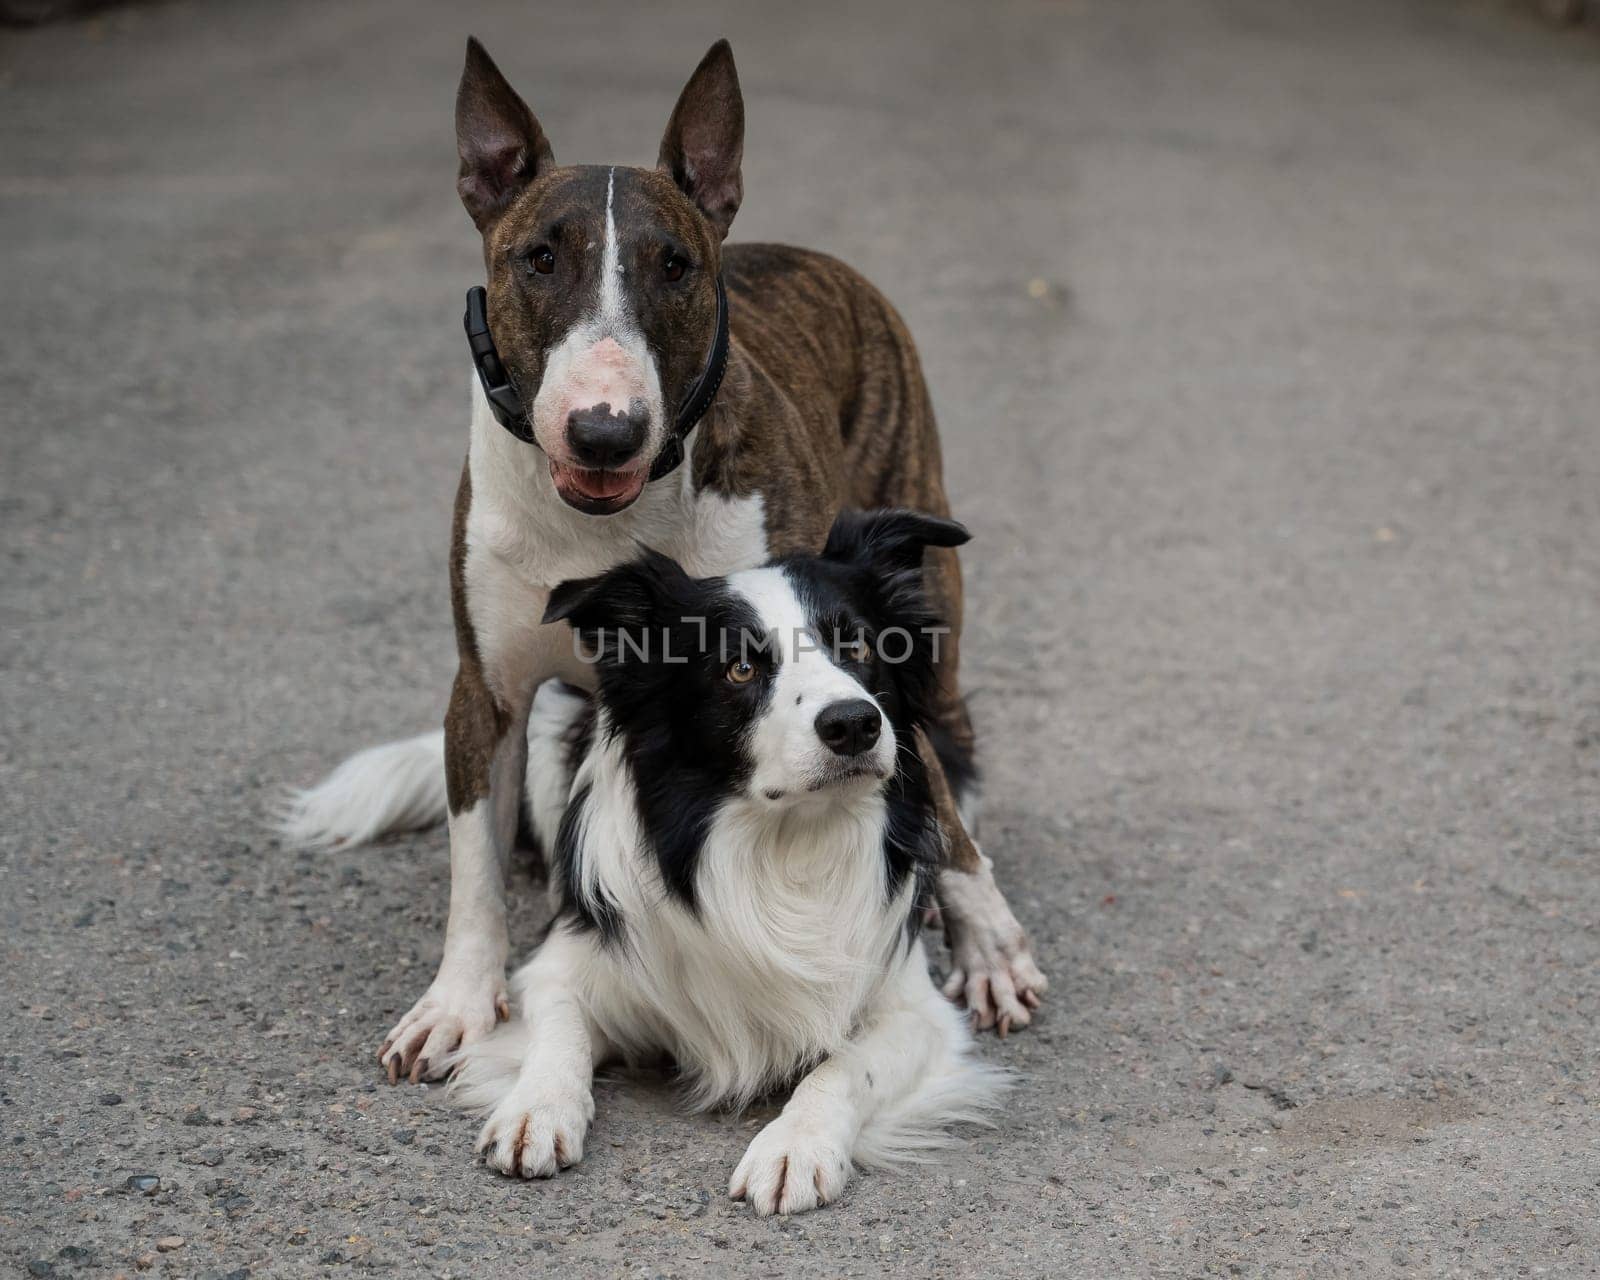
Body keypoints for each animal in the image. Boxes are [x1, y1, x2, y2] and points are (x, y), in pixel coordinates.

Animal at [448, 508, 998, 1209]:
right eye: (739, 669)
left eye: (860, 647)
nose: (854, 723)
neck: (787, 843)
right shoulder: (562, 965)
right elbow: (559, 1033)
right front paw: (536, 1110)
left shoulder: (916, 1012)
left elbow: (845, 1067)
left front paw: (794, 1146)